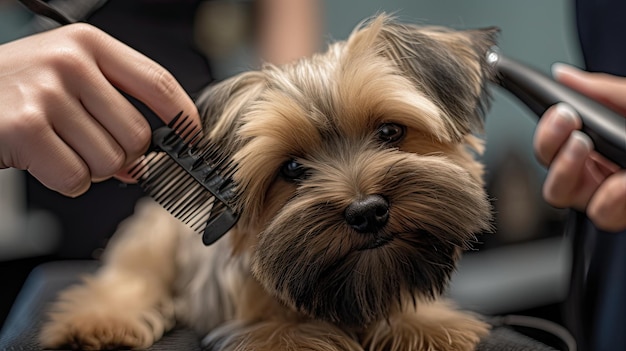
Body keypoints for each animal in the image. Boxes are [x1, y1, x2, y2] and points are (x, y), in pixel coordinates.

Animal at [39, 15, 498, 351]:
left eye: (390, 132)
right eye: (292, 169)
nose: (367, 212)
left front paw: (421, 323)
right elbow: (287, 336)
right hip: (153, 243)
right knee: (130, 278)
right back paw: (98, 322)